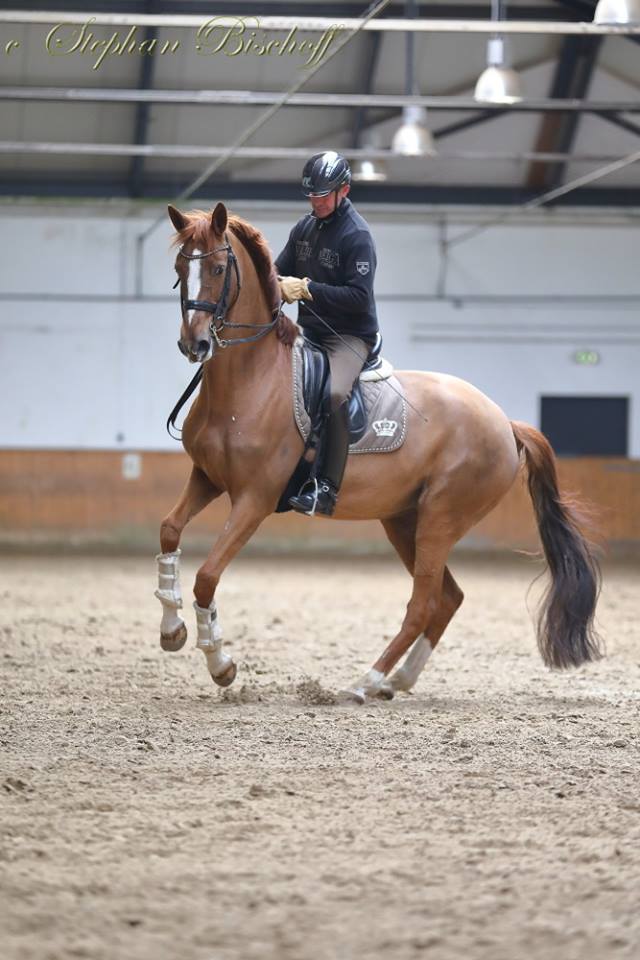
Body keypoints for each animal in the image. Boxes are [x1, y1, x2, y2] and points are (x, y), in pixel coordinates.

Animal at [154, 202, 600, 700]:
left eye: (217, 268)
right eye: (180, 269)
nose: (195, 344)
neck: (251, 379)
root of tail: (505, 422)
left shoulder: (254, 499)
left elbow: (207, 577)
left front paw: (221, 664)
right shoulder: (207, 478)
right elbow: (169, 532)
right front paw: (171, 630)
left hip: (440, 519)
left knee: (424, 602)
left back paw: (364, 682)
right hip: (405, 520)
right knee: (448, 598)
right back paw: (397, 679)